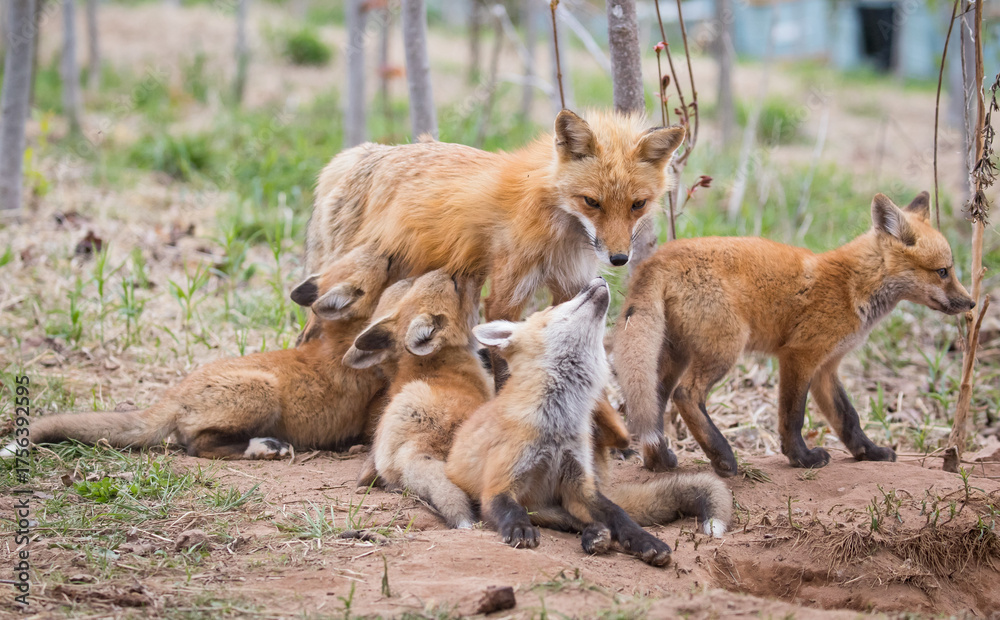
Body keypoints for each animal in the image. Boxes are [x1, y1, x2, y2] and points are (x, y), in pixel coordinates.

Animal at [1, 246, 396, 460]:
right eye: (381, 265)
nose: (388, 252)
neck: (341, 339)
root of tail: (174, 394)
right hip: (261, 392)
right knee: (197, 445)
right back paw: (264, 447)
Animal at [446, 278, 732, 566]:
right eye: (555, 306)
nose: (598, 280)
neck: (557, 426)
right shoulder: (499, 483)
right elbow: (511, 511)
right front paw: (519, 530)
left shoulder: (580, 484)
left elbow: (618, 514)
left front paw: (645, 541)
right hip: (541, 508)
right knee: (564, 520)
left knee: (584, 519)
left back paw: (596, 537)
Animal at [613, 192, 976, 476]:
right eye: (943, 271)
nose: (971, 302)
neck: (853, 286)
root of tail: (657, 259)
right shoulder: (800, 355)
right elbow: (793, 416)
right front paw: (801, 458)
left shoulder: (827, 367)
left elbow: (848, 418)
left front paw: (869, 452)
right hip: (724, 349)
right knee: (686, 395)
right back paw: (723, 458)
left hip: (675, 355)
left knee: (652, 403)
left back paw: (659, 460)